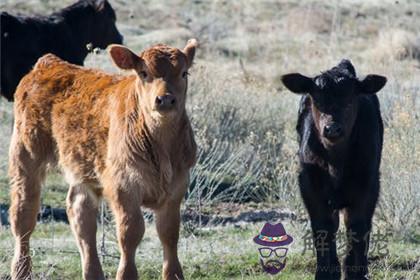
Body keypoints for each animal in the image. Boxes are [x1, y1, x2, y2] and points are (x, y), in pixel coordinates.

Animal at [8, 39, 199, 280]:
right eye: (144, 73)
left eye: (184, 73)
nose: (165, 99)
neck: (162, 146)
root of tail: (49, 63)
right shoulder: (122, 186)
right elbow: (130, 232)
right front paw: (126, 274)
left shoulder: (177, 187)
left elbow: (169, 233)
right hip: (25, 155)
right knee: (23, 216)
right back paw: (21, 270)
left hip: (84, 167)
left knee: (80, 213)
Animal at [282, 60, 388, 280]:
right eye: (316, 101)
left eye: (350, 100)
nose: (332, 129)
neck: (336, 164)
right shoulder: (310, 187)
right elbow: (322, 227)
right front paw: (326, 272)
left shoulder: (368, 186)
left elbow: (357, 228)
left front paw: (356, 272)